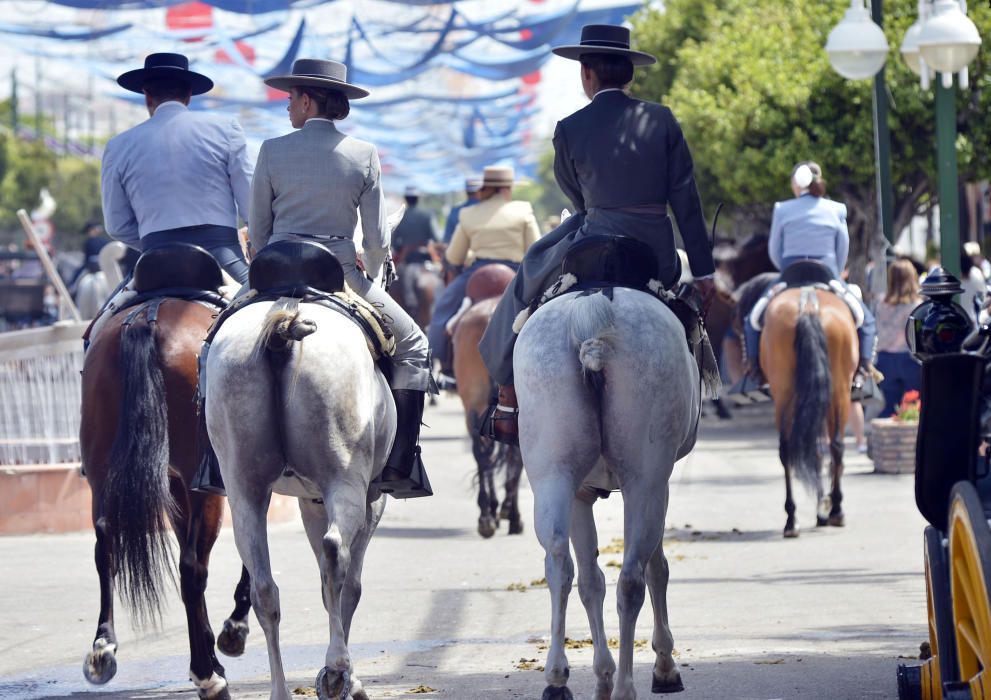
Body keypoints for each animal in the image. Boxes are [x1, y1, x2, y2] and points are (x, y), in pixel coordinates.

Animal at [81, 292, 252, 700]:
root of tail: (149, 316)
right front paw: (233, 628)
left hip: (101, 468)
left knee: (105, 546)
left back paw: (103, 648)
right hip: (203, 485)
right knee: (191, 568)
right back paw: (208, 675)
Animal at [205, 296, 396, 700]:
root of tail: (284, 330)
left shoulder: (312, 501)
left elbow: (326, 589)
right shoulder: (368, 499)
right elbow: (348, 587)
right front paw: (346, 679)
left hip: (244, 489)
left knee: (265, 589)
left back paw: (280, 689)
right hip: (345, 480)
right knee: (335, 553)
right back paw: (337, 667)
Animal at [516, 286, 700, 700]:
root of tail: (591, 307)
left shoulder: (579, 495)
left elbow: (589, 581)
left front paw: (601, 674)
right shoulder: (660, 486)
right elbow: (656, 570)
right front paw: (662, 665)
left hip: (553, 474)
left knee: (559, 562)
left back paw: (557, 678)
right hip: (646, 481)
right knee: (632, 578)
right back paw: (627, 686)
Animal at [764, 288, 856, 540]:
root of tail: (808, 305)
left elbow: (813, 451)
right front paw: (826, 507)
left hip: (785, 391)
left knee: (787, 450)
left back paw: (791, 520)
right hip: (839, 391)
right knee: (836, 446)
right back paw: (835, 509)